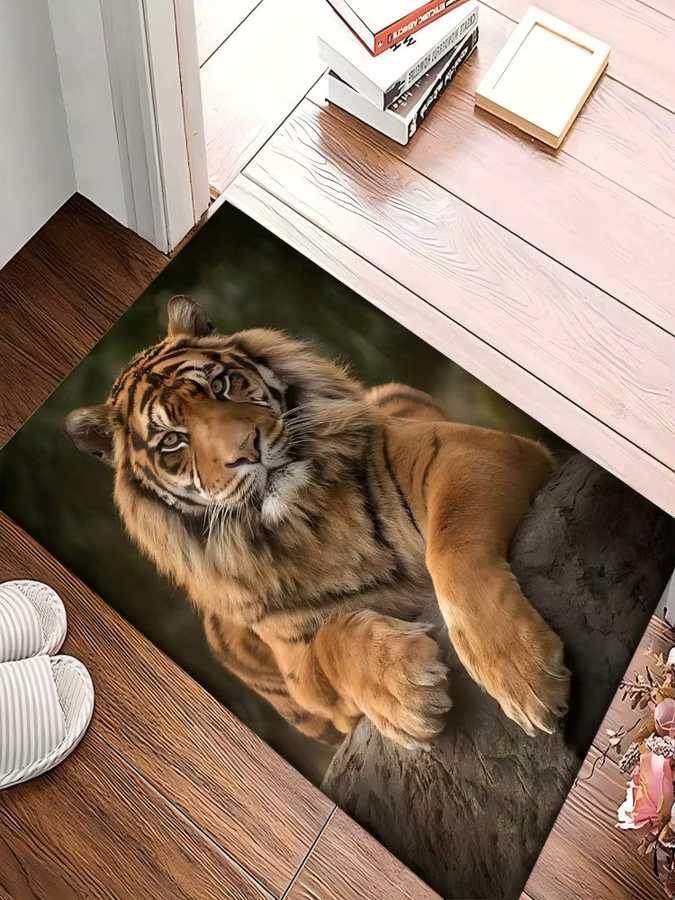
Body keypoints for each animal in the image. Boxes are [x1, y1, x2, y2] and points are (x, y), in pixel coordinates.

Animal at [64, 296, 570, 748]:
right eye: (171, 440)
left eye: (221, 385)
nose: (246, 449)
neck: (310, 520)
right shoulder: (303, 671)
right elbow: (331, 640)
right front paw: (406, 692)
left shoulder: (467, 451)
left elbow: (450, 547)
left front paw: (523, 675)